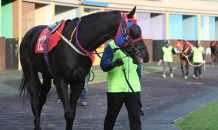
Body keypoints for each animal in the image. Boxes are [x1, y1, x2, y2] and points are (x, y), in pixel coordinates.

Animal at [19, 7, 150, 130]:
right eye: (135, 30)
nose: (146, 55)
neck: (76, 43)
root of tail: (29, 34)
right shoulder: (60, 80)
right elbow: (68, 113)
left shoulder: (78, 82)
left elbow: (72, 114)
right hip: (30, 71)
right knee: (35, 103)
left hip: (46, 75)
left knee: (41, 100)